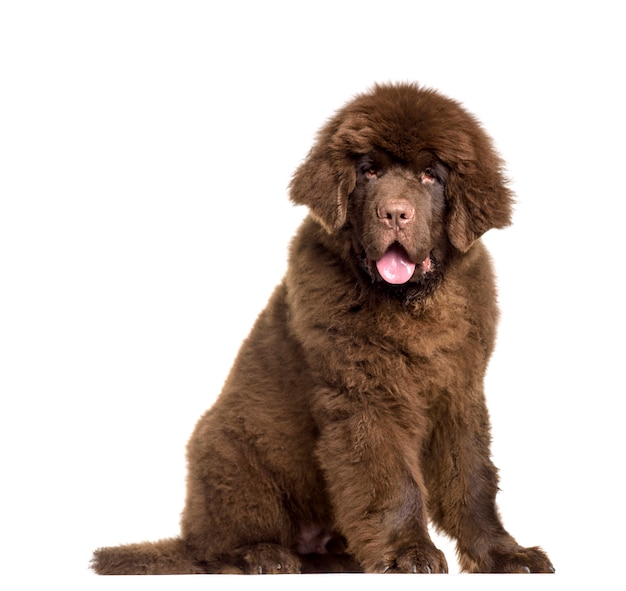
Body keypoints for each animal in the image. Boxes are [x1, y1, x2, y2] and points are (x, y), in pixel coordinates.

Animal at [91, 82, 552, 572]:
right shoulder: (366, 396)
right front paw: (408, 554)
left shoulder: (460, 392)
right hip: (227, 452)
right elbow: (392, 480)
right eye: (369, 171)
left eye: (431, 175)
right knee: (215, 548)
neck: (410, 306)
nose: (395, 213)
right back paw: (265, 555)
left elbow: (473, 479)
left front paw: (505, 555)